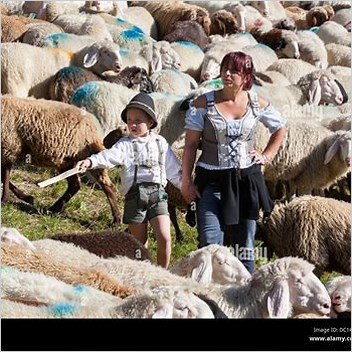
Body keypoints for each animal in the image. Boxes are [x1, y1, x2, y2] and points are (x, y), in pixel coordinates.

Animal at [1, 95, 121, 224]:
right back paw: (54, 209)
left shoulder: (9, 147)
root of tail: (94, 124)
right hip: (67, 161)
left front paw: (5, 199)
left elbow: (4, 177)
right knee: (75, 185)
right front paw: (26, 198)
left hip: (88, 155)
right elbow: (4, 177)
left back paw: (117, 219)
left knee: (107, 185)